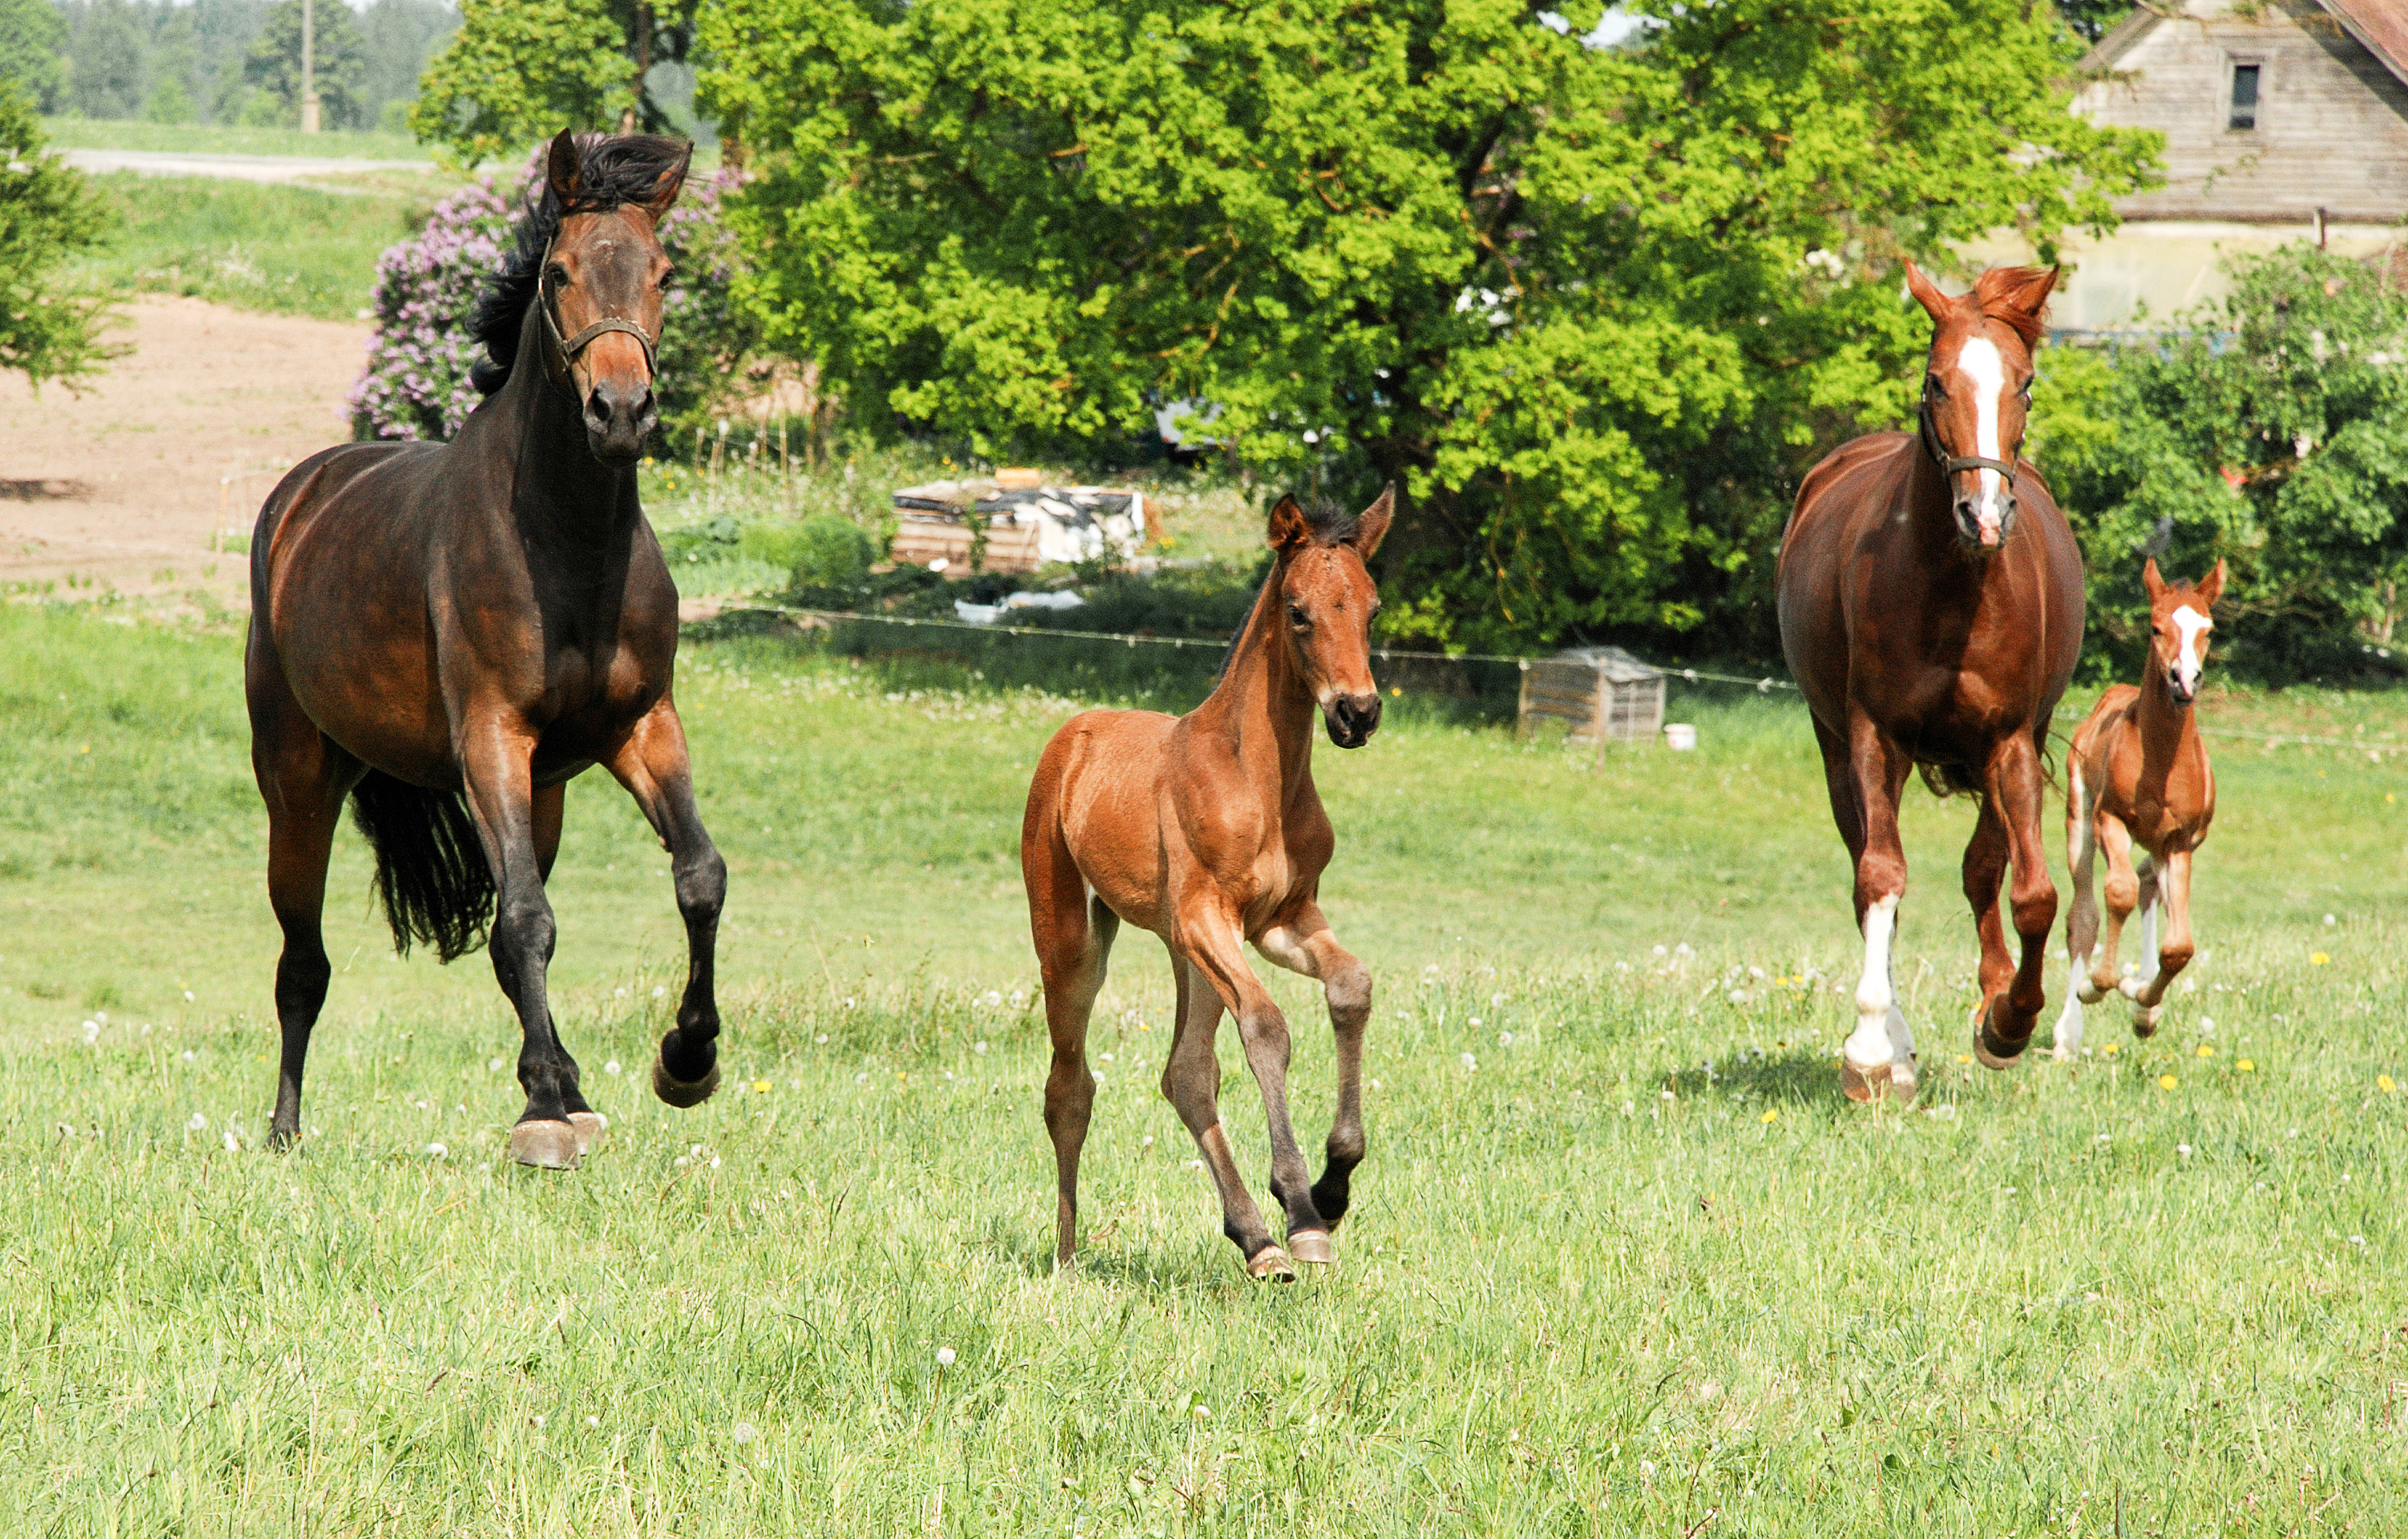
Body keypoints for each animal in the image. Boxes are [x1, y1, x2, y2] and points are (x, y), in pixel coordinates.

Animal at [244, 130, 726, 1167]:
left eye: (665, 273)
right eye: (558, 272)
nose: (620, 410)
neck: (568, 546)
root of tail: (302, 497)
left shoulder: (640, 730)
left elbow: (697, 878)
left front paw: (686, 1060)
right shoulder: (492, 741)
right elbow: (525, 921)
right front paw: (542, 1111)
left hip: (542, 795)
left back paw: (576, 1087)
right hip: (298, 784)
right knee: (303, 964)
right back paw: (286, 1130)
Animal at [1020, 489, 1389, 1279]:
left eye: (1371, 610)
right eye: (1298, 611)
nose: (1357, 713)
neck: (1257, 776)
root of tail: (1073, 734)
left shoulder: (1281, 919)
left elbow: (1351, 988)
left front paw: (1331, 1189)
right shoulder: (1208, 917)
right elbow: (1269, 1028)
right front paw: (1303, 1212)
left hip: (1184, 952)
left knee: (1185, 1075)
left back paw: (1255, 1239)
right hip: (1074, 942)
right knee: (1070, 1087)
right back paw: (1067, 1257)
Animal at [1776, 263, 2085, 1103]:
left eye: (2026, 384)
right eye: (1936, 381)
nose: (1985, 514)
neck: (1952, 584)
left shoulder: (2011, 740)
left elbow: (2030, 892)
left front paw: (2008, 1021)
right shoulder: (1871, 736)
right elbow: (1881, 877)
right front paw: (1872, 1051)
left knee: (1986, 870)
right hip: (1837, 751)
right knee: (1867, 875)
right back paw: (1898, 1046)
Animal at [2054, 559, 2225, 1056]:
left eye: (2209, 629)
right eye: (2155, 627)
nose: (2184, 680)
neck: (2162, 760)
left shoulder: (2181, 841)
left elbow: (2179, 946)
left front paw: (2143, 1002)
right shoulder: (2110, 818)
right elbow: (2118, 893)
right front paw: (2098, 984)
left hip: (2159, 844)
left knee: (2152, 887)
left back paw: (2144, 1001)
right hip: (2080, 822)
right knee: (2085, 914)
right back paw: (2067, 1031)